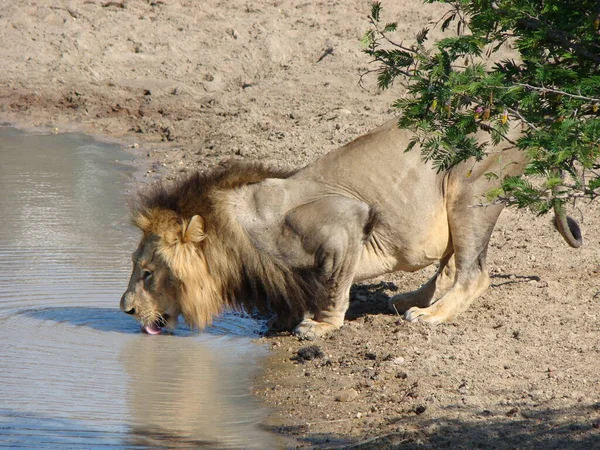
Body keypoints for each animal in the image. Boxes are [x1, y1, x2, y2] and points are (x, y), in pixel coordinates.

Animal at [120, 119, 580, 338]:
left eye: (148, 273)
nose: (125, 309)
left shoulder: (346, 219)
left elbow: (333, 285)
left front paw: (322, 325)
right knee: (449, 264)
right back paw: (413, 298)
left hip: (470, 190)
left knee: (475, 273)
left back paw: (431, 315)